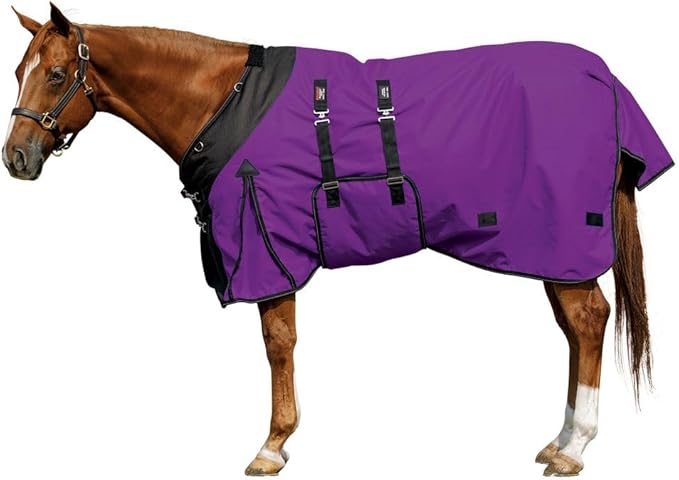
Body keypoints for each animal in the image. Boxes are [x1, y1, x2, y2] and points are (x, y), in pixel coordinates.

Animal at [3, 4, 673, 477]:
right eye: (18, 72)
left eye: (57, 74)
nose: (16, 158)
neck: (226, 101)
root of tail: (604, 77)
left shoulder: (269, 245)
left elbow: (278, 343)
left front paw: (272, 446)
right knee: (575, 328)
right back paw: (559, 440)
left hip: (561, 245)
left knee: (588, 320)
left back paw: (575, 448)